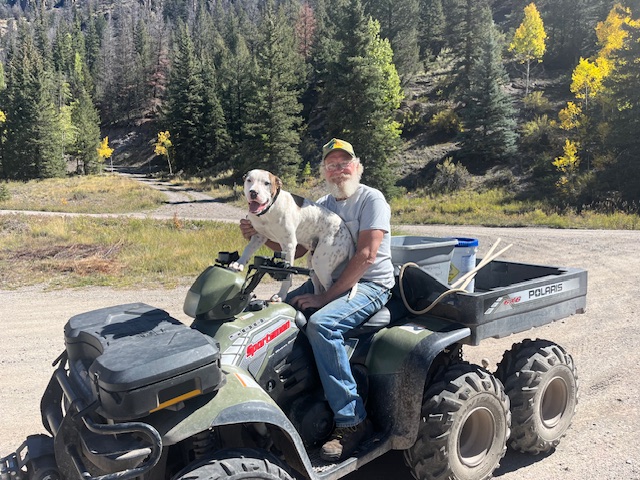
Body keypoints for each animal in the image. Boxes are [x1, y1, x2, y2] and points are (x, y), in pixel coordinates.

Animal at [231, 169, 356, 302]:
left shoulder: (289, 245)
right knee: (319, 288)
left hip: (321, 263)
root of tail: (348, 235)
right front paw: (239, 263)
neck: (269, 210)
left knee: (330, 288)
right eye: (249, 180)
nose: (253, 192)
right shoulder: (259, 236)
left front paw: (281, 295)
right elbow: (248, 249)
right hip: (312, 262)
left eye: (266, 183)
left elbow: (287, 273)